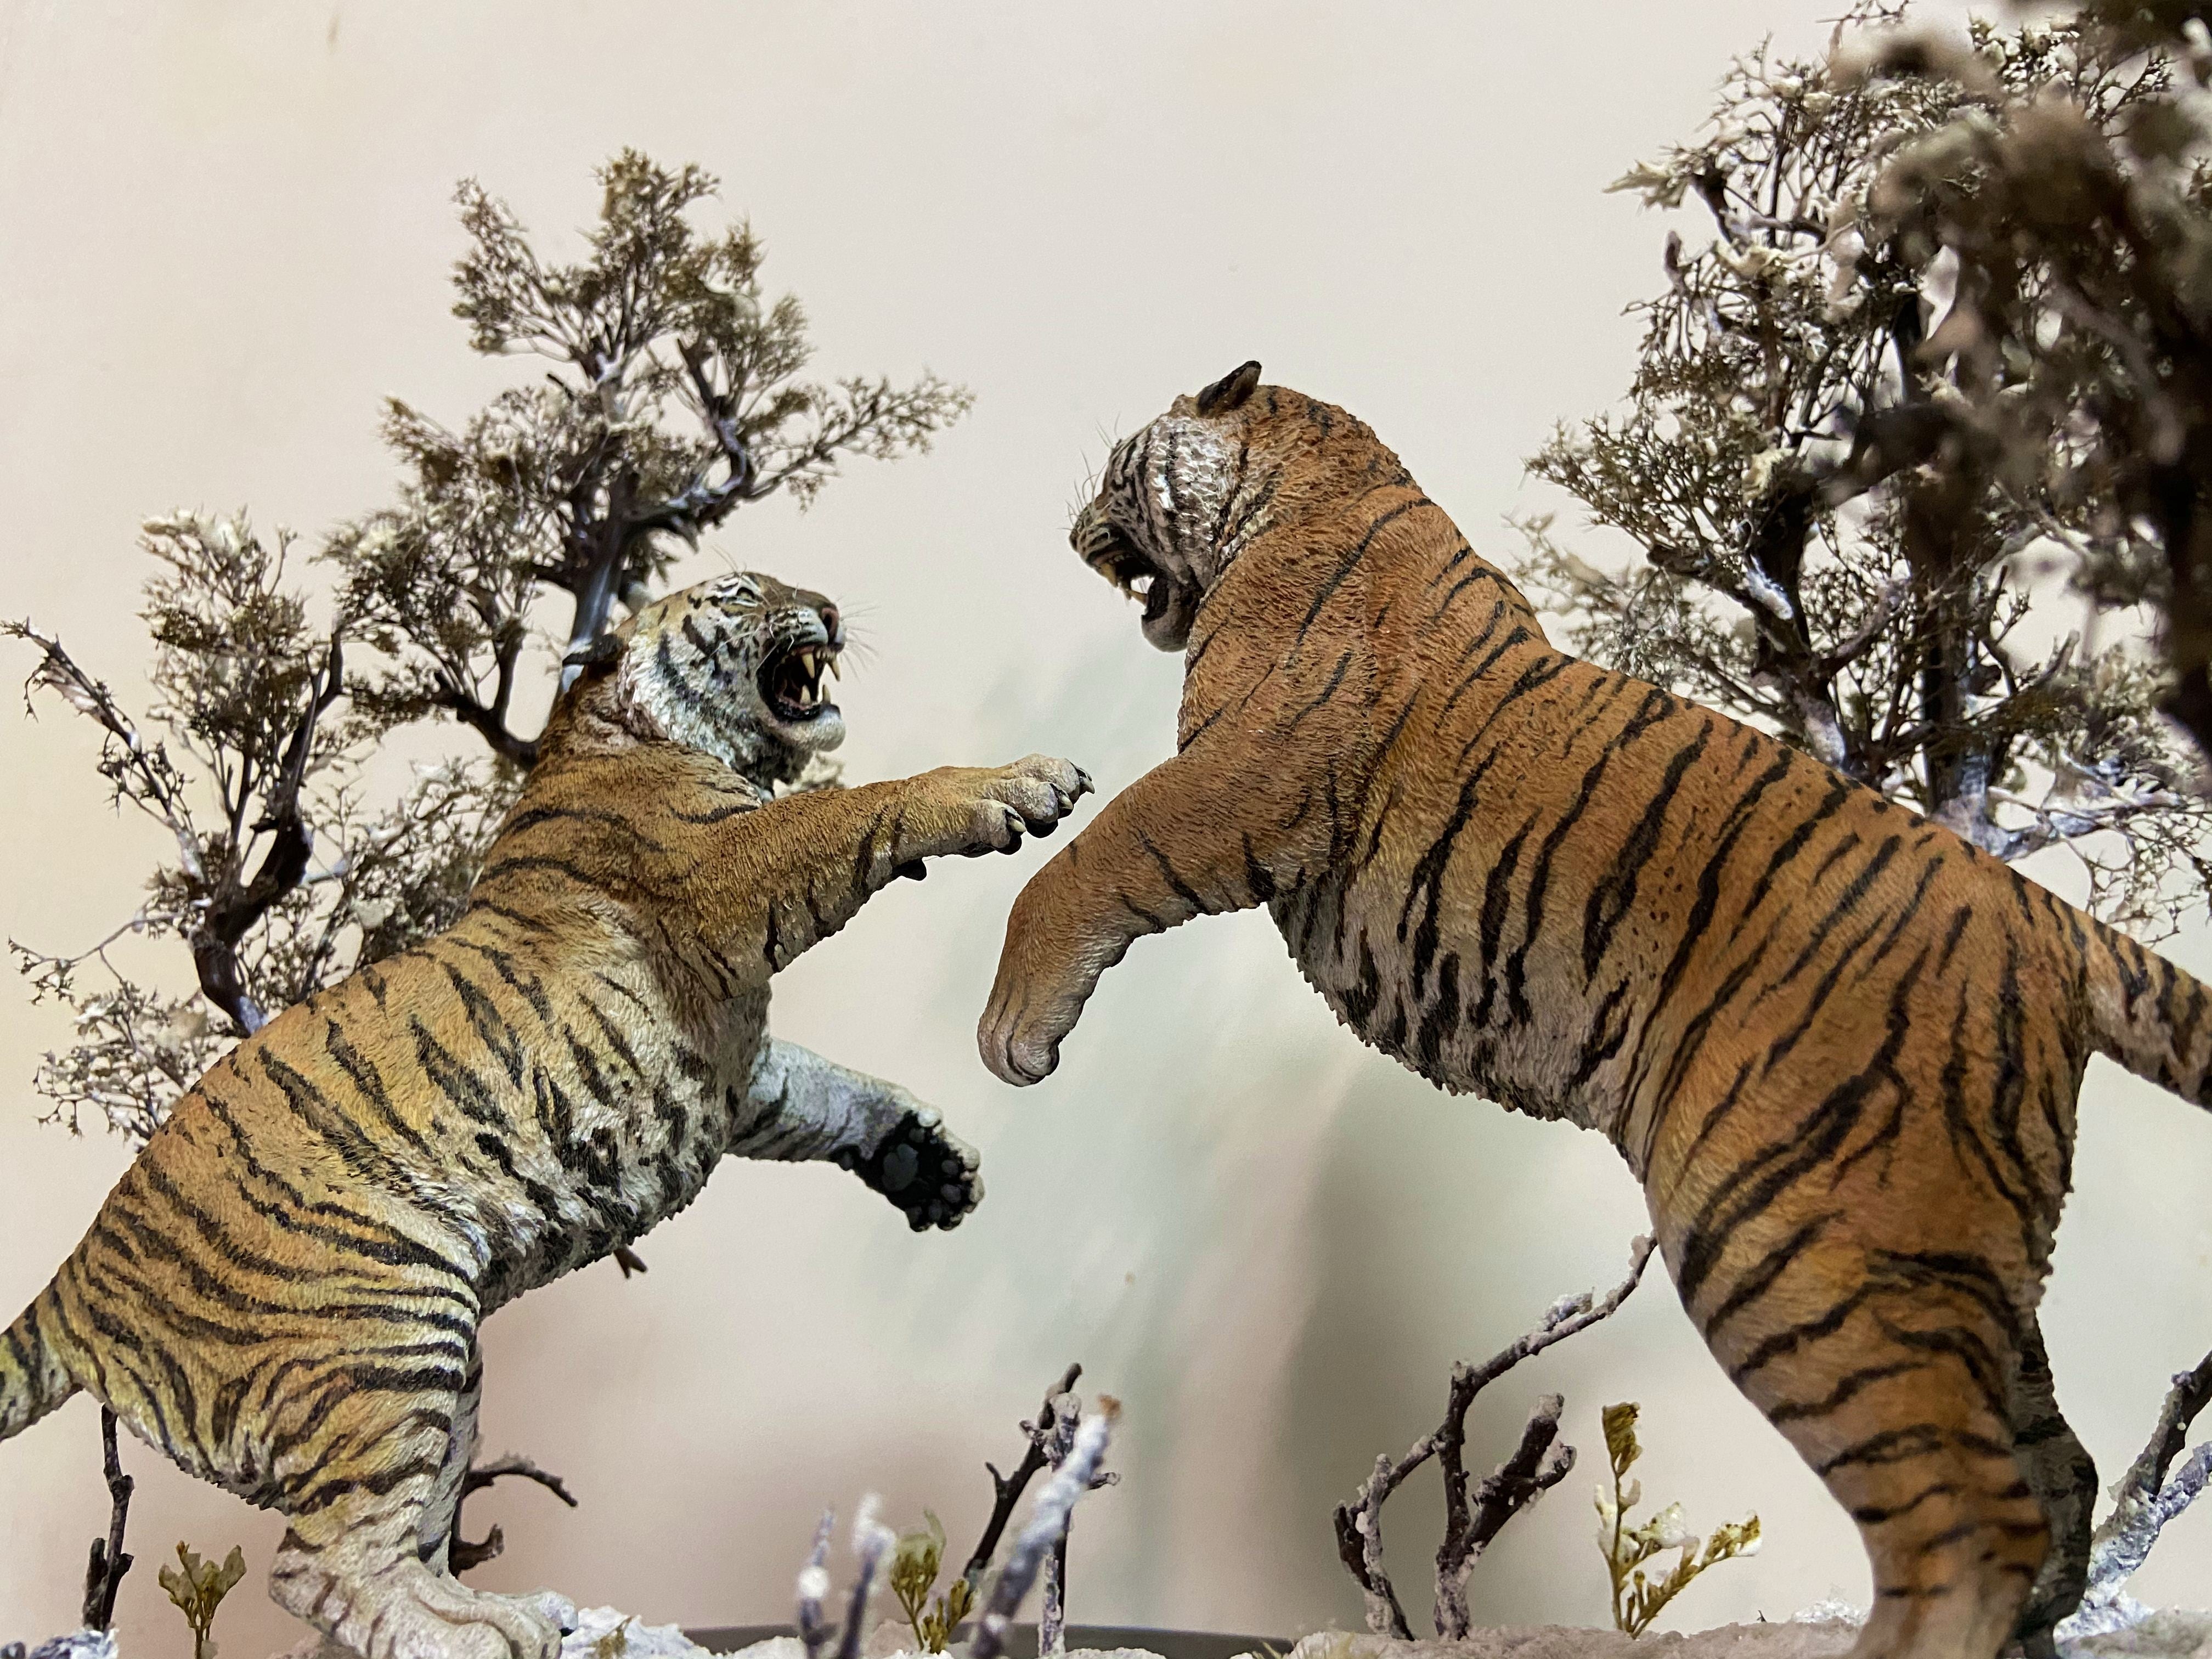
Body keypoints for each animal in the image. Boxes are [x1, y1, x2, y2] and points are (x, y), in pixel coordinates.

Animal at [0, 571, 1091, 1659]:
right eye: (742, 590)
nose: (823, 603)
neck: (618, 735)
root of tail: (76, 1279)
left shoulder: (741, 1068)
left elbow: (828, 1090)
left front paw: (925, 1161)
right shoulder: (733, 871)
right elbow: (860, 805)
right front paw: (1017, 782)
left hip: (443, 1373)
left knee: (398, 1549)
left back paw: (513, 1613)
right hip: (386, 1336)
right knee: (319, 1566)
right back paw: (488, 1636)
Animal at [977, 361, 2212, 1659]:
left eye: (1117, 472)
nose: (1074, 531)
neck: (1317, 471)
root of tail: (2047, 918)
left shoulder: (1237, 777)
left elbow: (1087, 858)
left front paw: (1014, 1032)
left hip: (1787, 1236)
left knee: (1970, 1516)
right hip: (1952, 1257)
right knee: (2059, 1476)